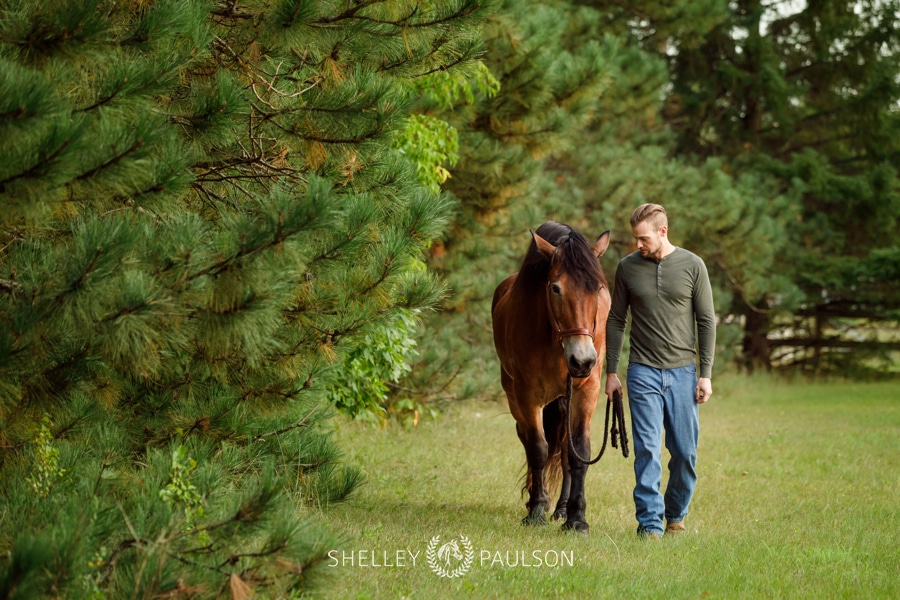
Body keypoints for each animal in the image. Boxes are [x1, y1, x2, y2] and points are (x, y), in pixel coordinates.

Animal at [492, 223, 612, 532]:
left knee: (565, 452)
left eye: (598, 288)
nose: (582, 360)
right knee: (529, 441)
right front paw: (535, 510)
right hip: (515, 397)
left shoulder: (587, 390)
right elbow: (537, 448)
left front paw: (577, 518)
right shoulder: (526, 395)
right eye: (555, 288)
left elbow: (578, 451)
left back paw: (560, 509)